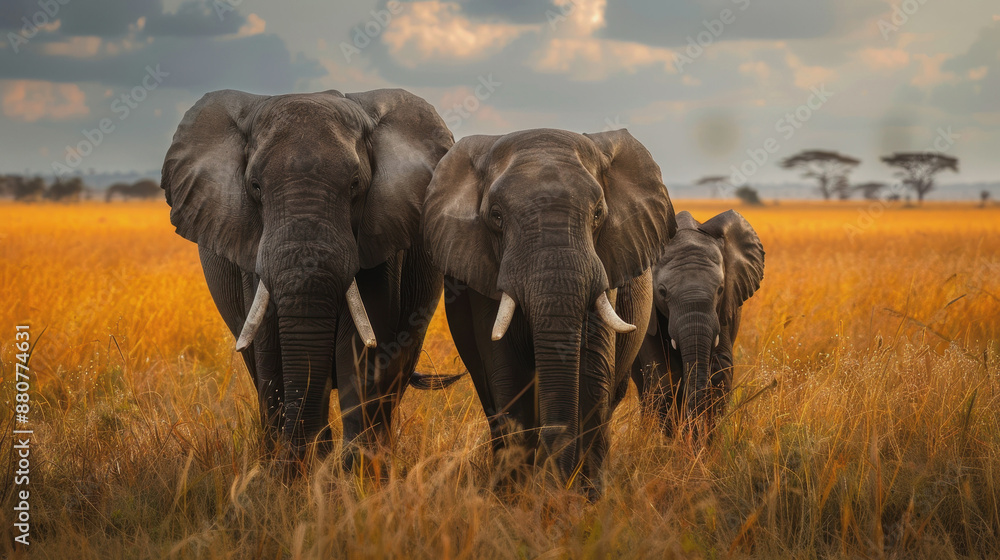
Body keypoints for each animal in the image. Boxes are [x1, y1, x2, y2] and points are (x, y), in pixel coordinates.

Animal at [160, 88, 457, 468]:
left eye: (356, 185)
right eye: (254, 186)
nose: (301, 453)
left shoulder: (382, 243)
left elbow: (360, 348)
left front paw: (351, 472)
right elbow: (269, 349)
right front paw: (290, 471)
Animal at [423, 128, 676, 495]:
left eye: (598, 213)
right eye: (496, 217)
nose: (559, 484)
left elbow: (592, 370)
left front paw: (585, 497)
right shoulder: (484, 272)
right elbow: (509, 373)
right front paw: (514, 497)